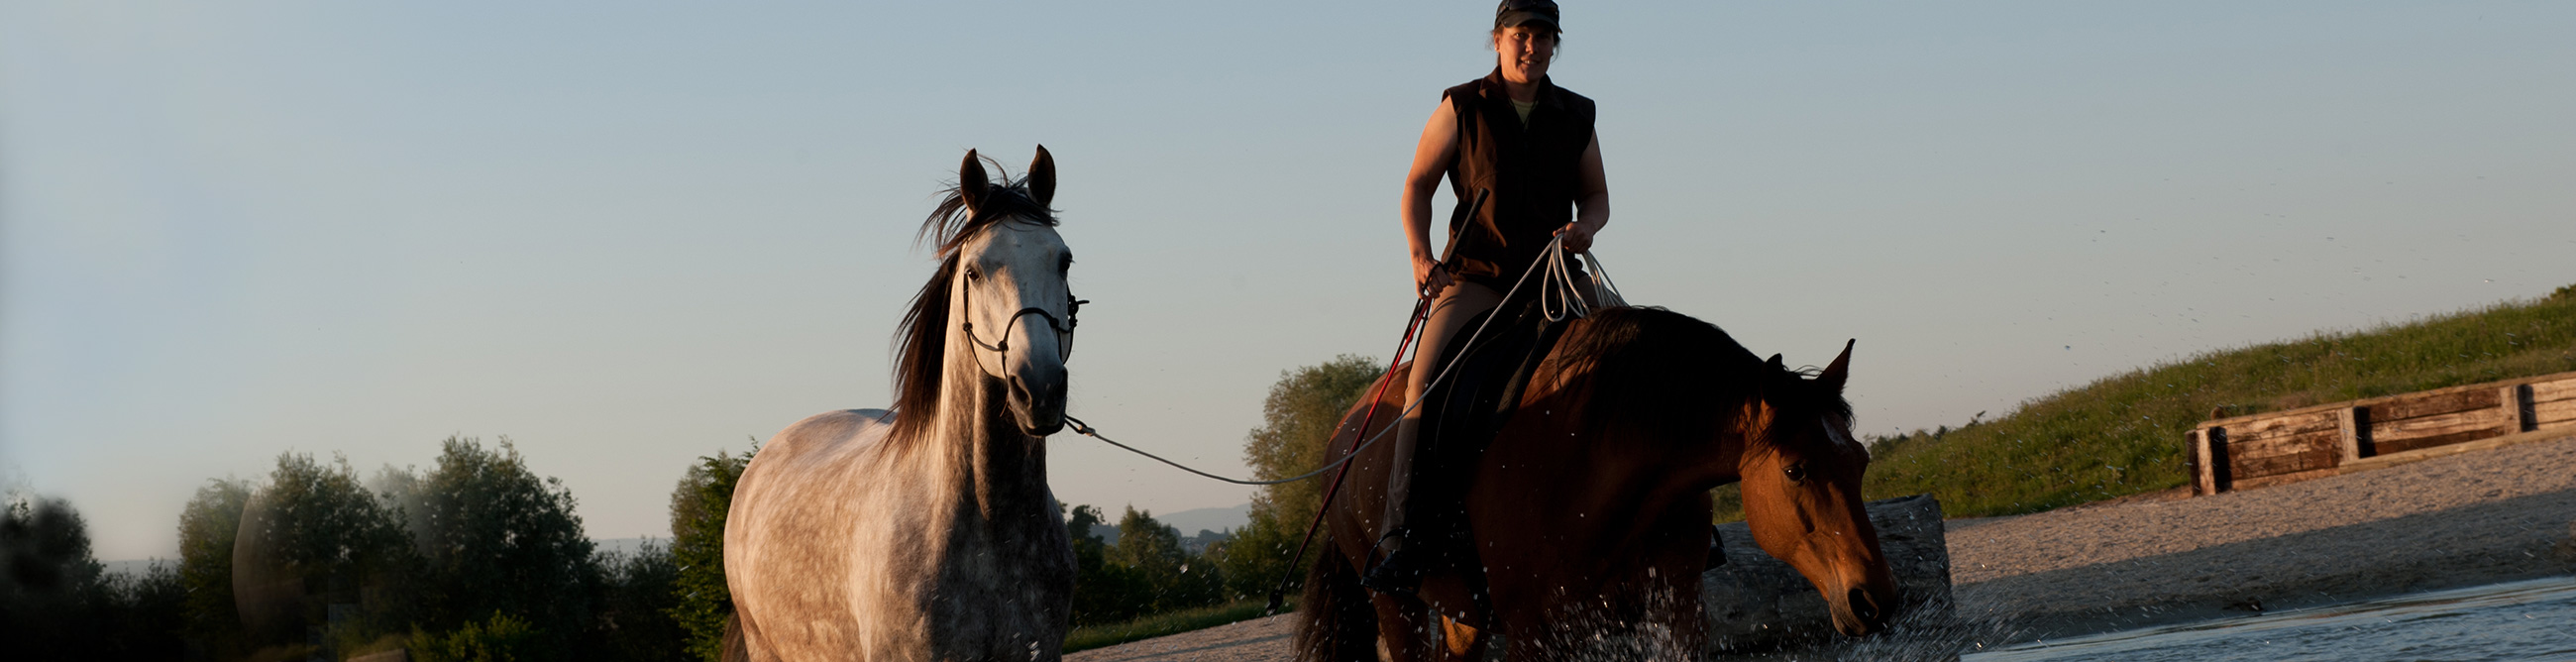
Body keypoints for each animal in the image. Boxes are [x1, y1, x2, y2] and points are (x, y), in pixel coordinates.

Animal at [1298, 306, 1898, 661]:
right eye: (1795, 469)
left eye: (1861, 460)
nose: (1874, 600)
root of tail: (1340, 437)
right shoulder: (1536, 633)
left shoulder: (1677, 609)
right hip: (1394, 605)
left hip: (1460, 614)